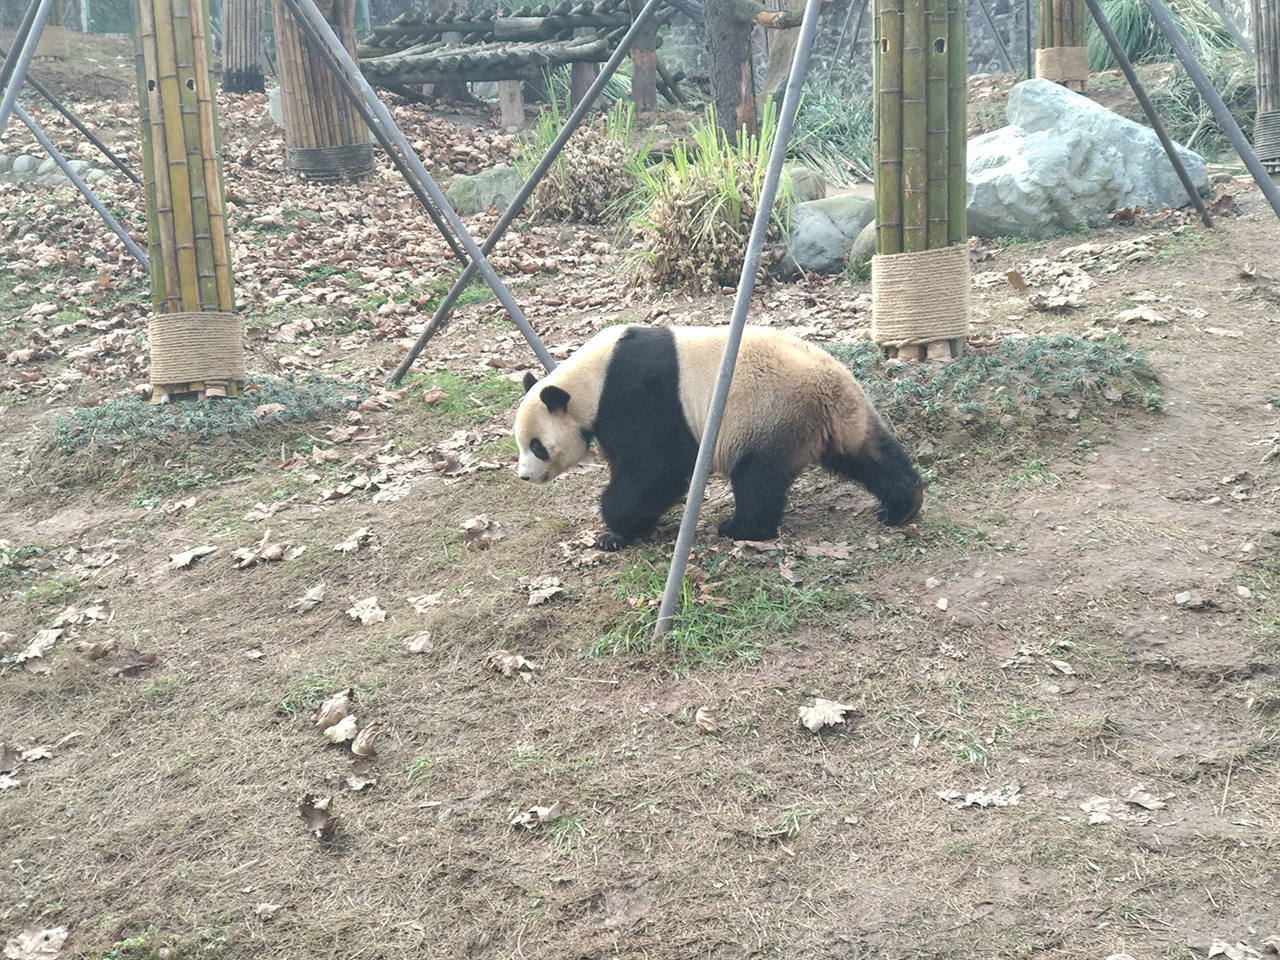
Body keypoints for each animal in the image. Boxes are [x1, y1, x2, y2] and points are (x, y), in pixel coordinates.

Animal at [514, 323, 926, 552]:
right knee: (868, 455)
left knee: (757, 478)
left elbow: (659, 470)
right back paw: (904, 504)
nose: (524, 476)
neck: (589, 380)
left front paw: (616, 527)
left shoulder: (638, 396)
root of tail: (832, 388)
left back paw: (742, 528)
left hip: (767, 414)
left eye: (536, 445)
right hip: (837, 420)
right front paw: (623, 532)